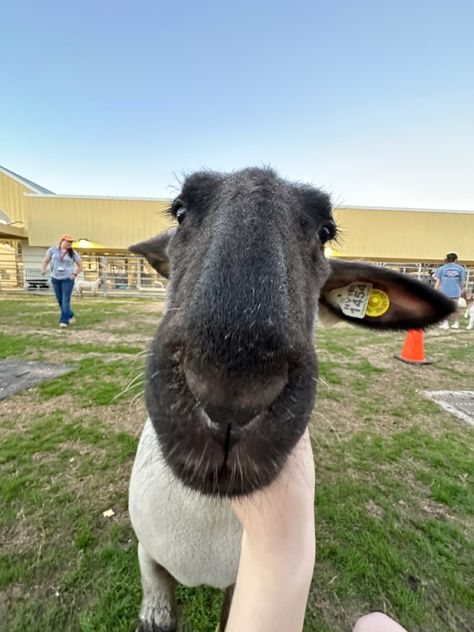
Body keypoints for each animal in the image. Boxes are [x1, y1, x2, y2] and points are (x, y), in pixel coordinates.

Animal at [128, 168, 454, 632]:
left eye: (325, 232)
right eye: (180, 211)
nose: (231, 391)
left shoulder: (239, 584)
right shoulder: (149, 554)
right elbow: (157, 604)